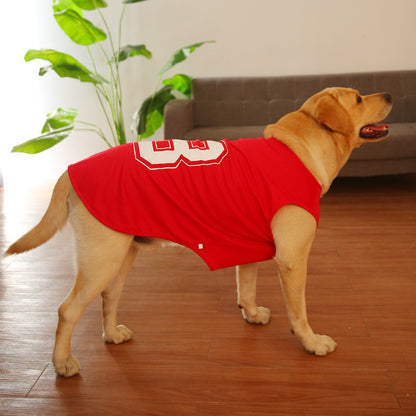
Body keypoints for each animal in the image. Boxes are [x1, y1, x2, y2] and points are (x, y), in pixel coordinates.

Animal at [4, 88, 392, 376]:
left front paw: (252, 314)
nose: (389, 94)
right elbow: (300, 312)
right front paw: (311, 342)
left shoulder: (249, 247)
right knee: (66, 310)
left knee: (108, 300)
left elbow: (246, 286)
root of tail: (72, 168)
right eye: (359, 99)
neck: (300, 148)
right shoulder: (293, 260)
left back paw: (112, 335)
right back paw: (62, 363)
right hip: (101, 260)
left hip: (119, 258)